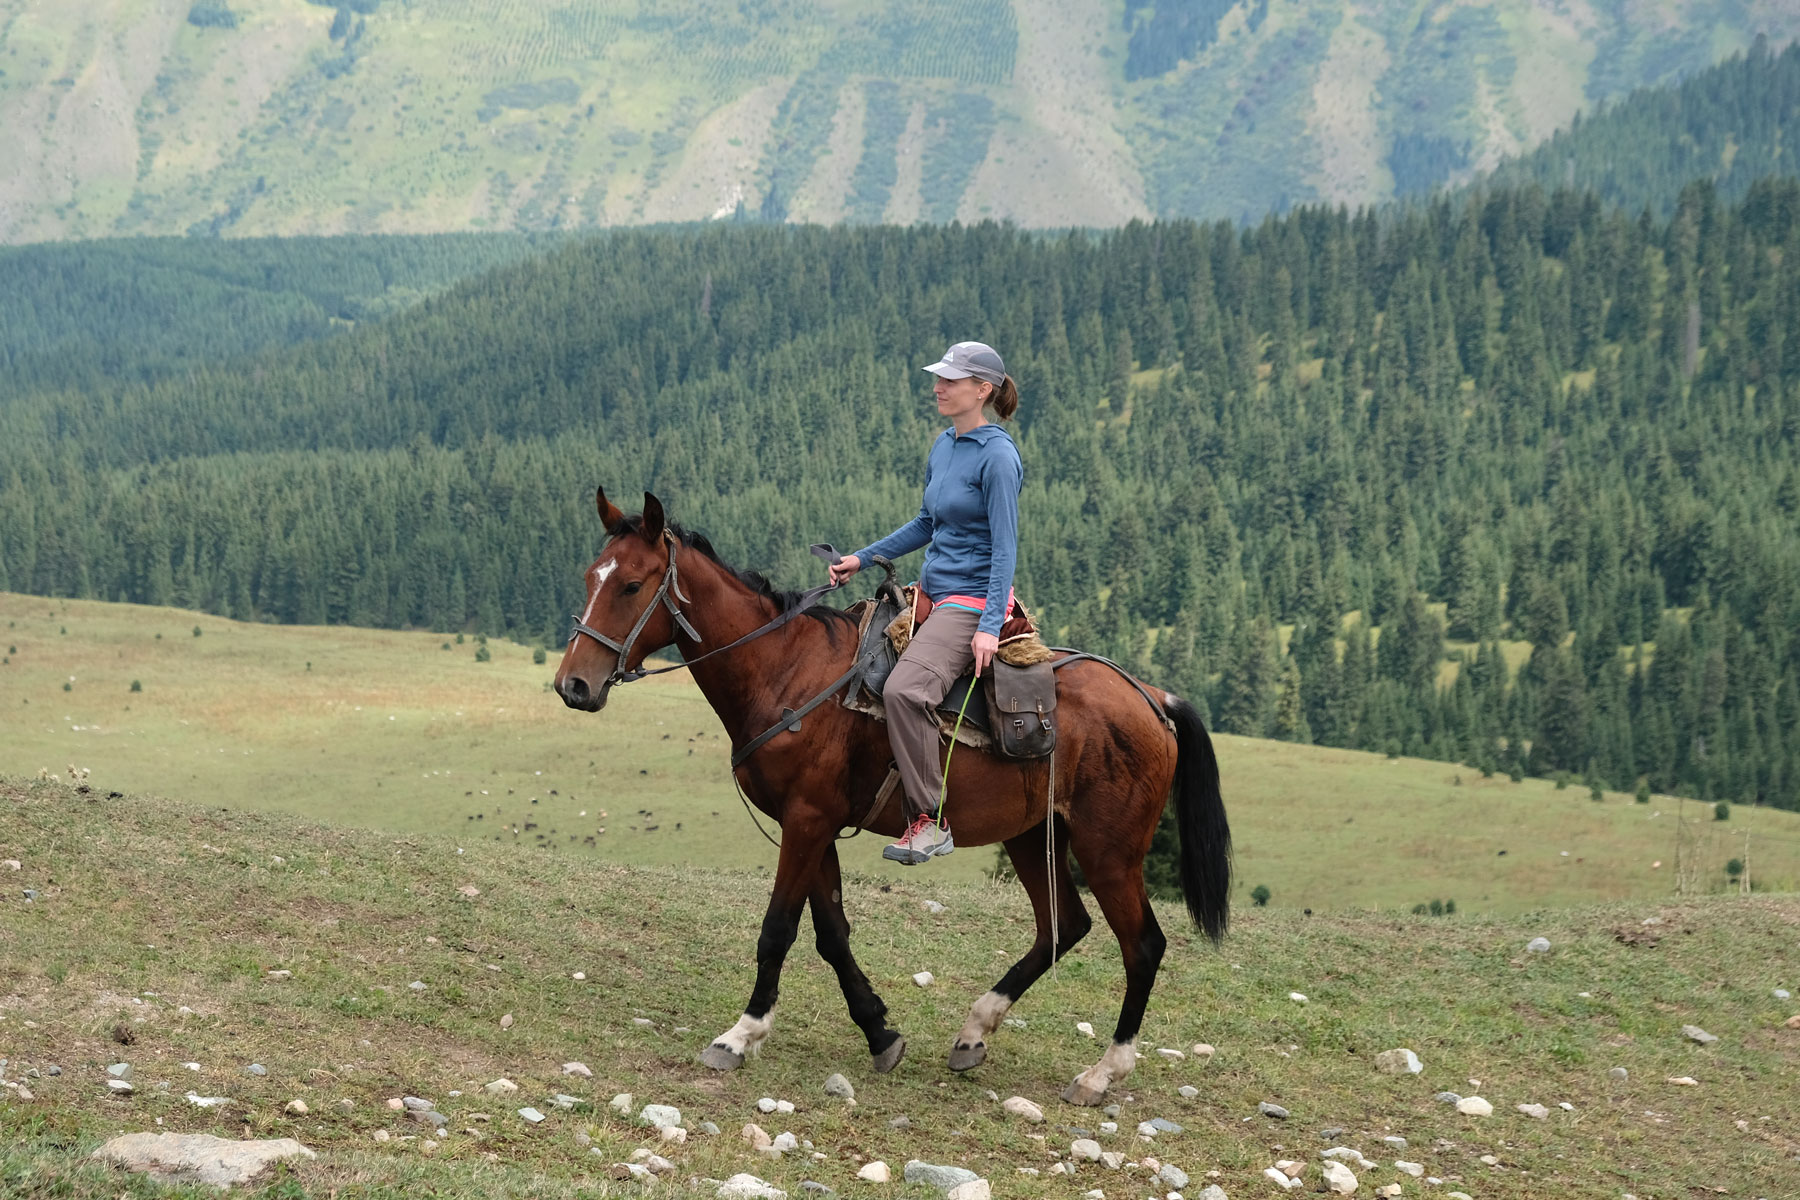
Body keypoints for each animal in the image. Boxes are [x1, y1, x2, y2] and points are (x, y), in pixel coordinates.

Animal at [550, 489, 1224, 1108]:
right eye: (589, 578)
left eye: (631, 586)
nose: (573, 685)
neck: (784, 670)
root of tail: (1152, 698)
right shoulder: (816, 825)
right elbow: (831, 933)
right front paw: (879, 1032)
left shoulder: (806, 821)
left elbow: (778, 930)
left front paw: (741, 1035)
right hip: (1033, 836)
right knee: (1063, 925)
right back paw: (975, 1030)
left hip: (1109, 852)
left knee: (1143, 947)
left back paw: (1101, 1073)